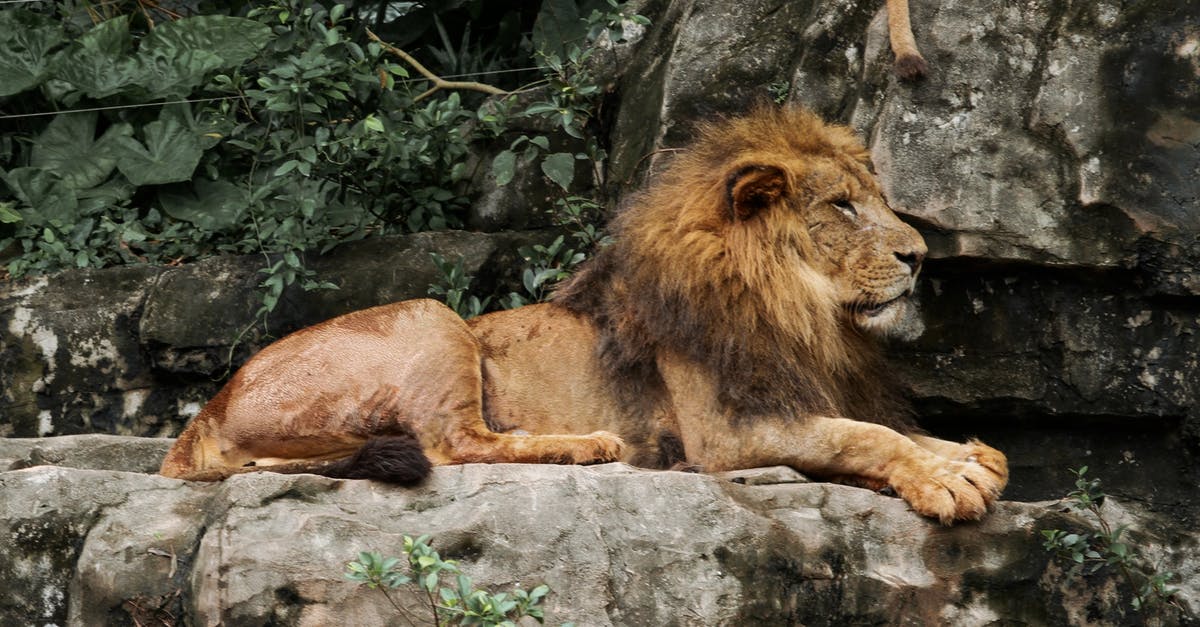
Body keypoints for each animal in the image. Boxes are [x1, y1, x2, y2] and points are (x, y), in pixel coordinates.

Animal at [157, 106, 1003, 521]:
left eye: (877, 201)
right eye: (841, 207)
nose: (920, 255)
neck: (799, 309)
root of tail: (208, 409)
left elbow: (893, 428)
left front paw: (967, 455)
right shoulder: (725, 432)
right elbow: (863, 434)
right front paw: (949, 479)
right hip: (434, 316)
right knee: (454, 443)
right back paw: (593, 444)